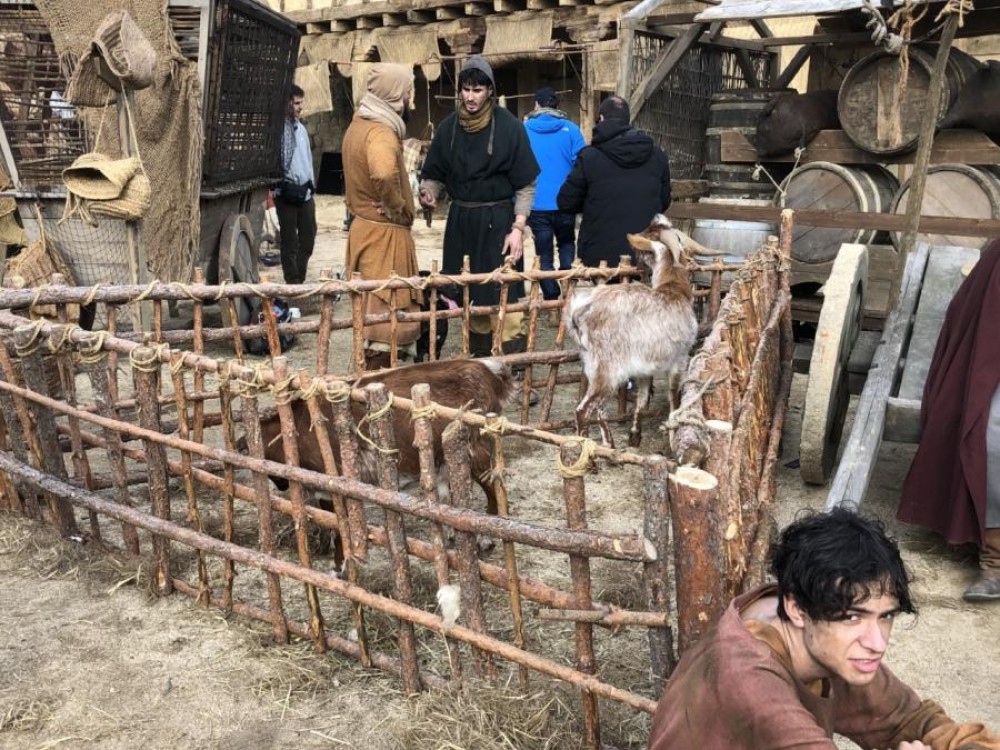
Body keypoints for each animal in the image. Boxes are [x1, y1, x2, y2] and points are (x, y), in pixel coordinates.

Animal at [240, 358, 515, 566]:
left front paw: (340, 566)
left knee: (493, 488)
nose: (282, 486)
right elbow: (328, 517)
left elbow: (340, 524)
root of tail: (487, 370)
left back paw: (485, 540)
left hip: (475, 449)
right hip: (445, 458)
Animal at [566, 214, 699, 449]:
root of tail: (581, 310)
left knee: (598, 408)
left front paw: (635, 436)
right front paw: (673, 436)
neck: (674, 289)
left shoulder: (645, 368)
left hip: (593, 365)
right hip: (609, 367)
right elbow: (674, 398)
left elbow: (642, 400)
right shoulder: (679, 359)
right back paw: (588, 452)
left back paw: (610, 444)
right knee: (583, 410)